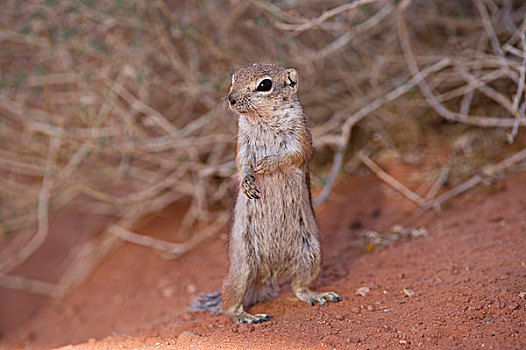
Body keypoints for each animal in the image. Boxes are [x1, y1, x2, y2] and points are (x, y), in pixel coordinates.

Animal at [194, 63, 342, 326]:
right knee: (228, 305)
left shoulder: (300, 136)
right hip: (241, 270)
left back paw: (318, 295)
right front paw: (247, 183)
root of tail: (269, 274)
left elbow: (294, 154)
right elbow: (241, 163)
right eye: (234, 78)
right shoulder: (242, 142)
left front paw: (268, 163)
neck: (262, 118)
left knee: (299, 287)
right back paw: (247, 317)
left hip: (311, 256)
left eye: (265, 85)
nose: (231, 99)